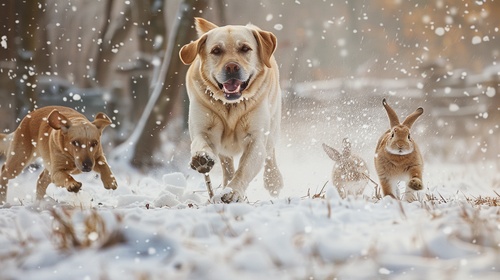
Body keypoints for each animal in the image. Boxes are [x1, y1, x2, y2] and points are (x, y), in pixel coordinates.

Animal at [180, 17, 284, 202]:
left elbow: (244, 169)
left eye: (245, 48)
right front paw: (201, 158)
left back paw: (273, 181)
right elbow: (200, 142)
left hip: (272, 127)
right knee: (226, 163)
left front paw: (232, 192)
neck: (230, 105)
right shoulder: (202, 129)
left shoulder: (256, 138)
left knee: (270, 153)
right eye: (216, 50)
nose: (231, 67)